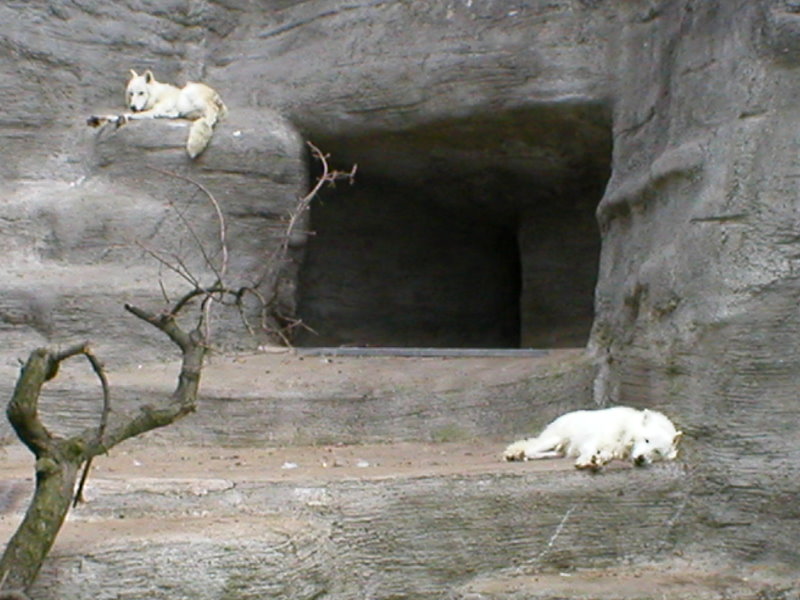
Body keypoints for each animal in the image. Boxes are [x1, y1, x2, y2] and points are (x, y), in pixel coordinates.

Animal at [88, 69, 228, 158]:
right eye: (131, 93)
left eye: (141, 93)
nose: (133, 107)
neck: (157, 95)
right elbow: (115, 115)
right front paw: (97, 120)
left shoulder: (155, 109)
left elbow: (132, 115)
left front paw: (124, 117)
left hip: (191, 91)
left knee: (211, 113)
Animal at [503, 406, 683, 470]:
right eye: (646, 440)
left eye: (657, 451)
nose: (640, 458)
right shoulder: (595, 439)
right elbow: (590, 449)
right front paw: (586, 461)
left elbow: (605, 455)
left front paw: (598, 460)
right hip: (555, 438)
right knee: (530, 450)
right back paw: (517, 455)